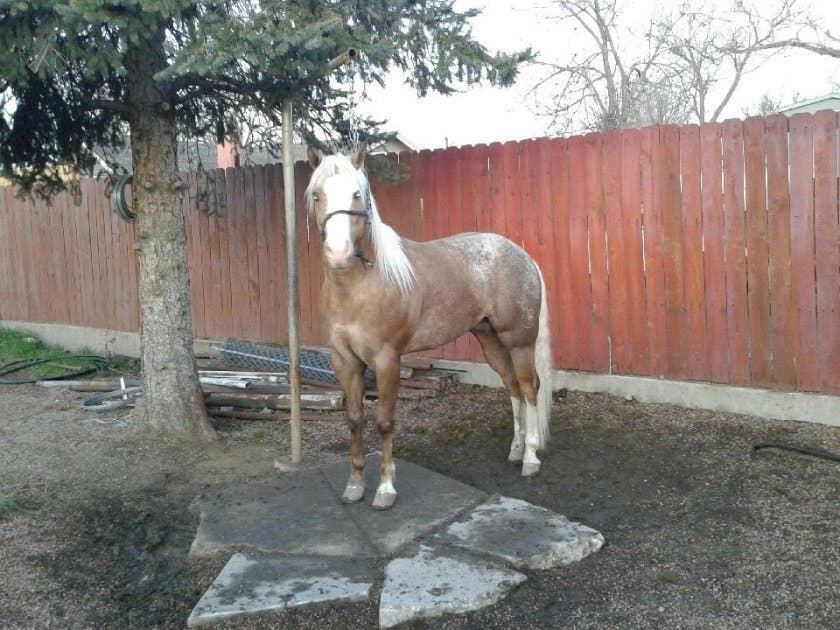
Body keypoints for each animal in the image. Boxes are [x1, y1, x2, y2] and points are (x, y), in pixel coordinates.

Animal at [305, 143, 552, 510]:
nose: (339, 253)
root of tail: (522, 256)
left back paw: (531, 458)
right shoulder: (344, 361)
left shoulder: (387, 360)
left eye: (357, 194)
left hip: (519, 341)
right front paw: (354, 485)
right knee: (512, 387)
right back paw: (517, 449)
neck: (361, 285)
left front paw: (385, 489)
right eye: (317, 194)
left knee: (529, 387)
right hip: (490, 342)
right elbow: (354, 420)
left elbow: (384, 422)